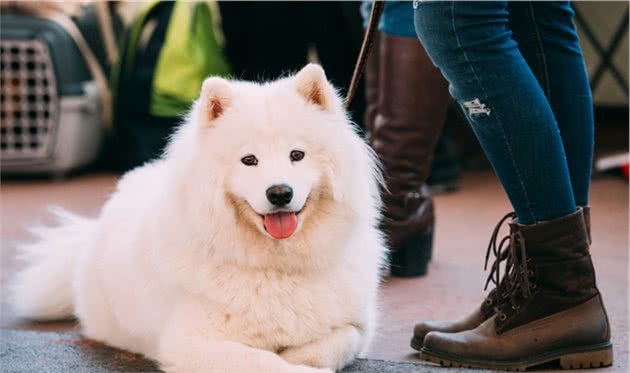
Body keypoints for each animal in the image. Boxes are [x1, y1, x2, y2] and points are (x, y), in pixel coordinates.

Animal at [12, 64, 388, 372]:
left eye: (297, 154)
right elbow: (265, 363)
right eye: (248, 160)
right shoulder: (192, 343)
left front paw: (298, 353)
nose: (279, 193)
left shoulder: (359, 325)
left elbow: (339, 340)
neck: (277, 266)